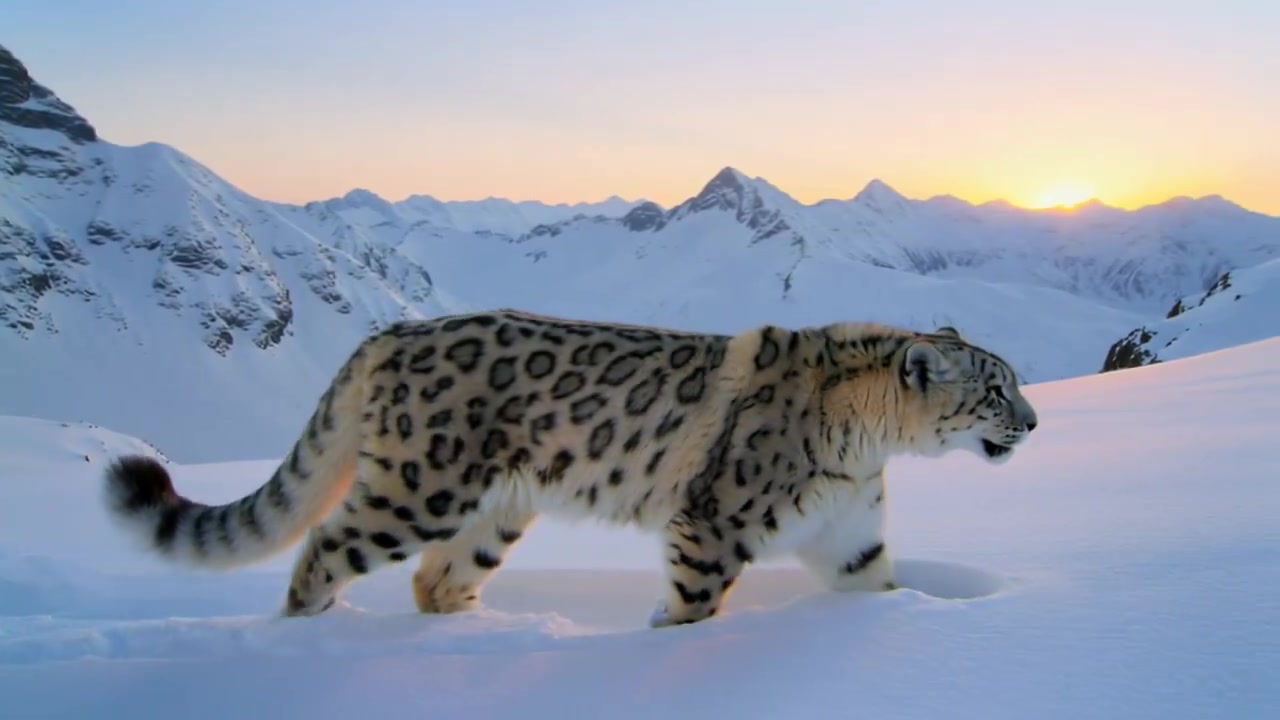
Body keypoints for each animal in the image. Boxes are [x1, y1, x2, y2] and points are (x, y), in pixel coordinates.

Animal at [102, 308, 1038, 628]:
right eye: (996, 388)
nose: (1032, 424)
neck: (860, 450)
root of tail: (388, 334)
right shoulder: (715, 523)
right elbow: (697, 603)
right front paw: (669, 636)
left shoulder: (848, 535)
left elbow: (873, 588)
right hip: (419, 488)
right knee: (326, 546)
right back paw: (313, 631)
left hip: (495, 511)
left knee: (436, 578)